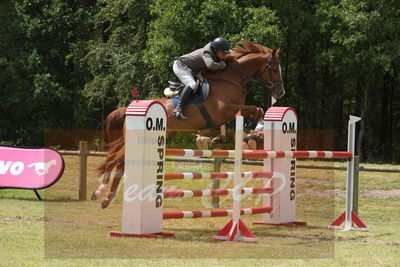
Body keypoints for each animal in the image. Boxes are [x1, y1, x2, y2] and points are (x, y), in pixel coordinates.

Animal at [91, 41, 284, 209]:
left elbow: (256, 110)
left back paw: (107, 198)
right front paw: (248, 133)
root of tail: (128, 110)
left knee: (120, 164)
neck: (232, 77)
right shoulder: (227, 109)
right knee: (113, 162)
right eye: (274, 68)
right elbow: (256, 109)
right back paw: (99, 192)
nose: (280, 93)